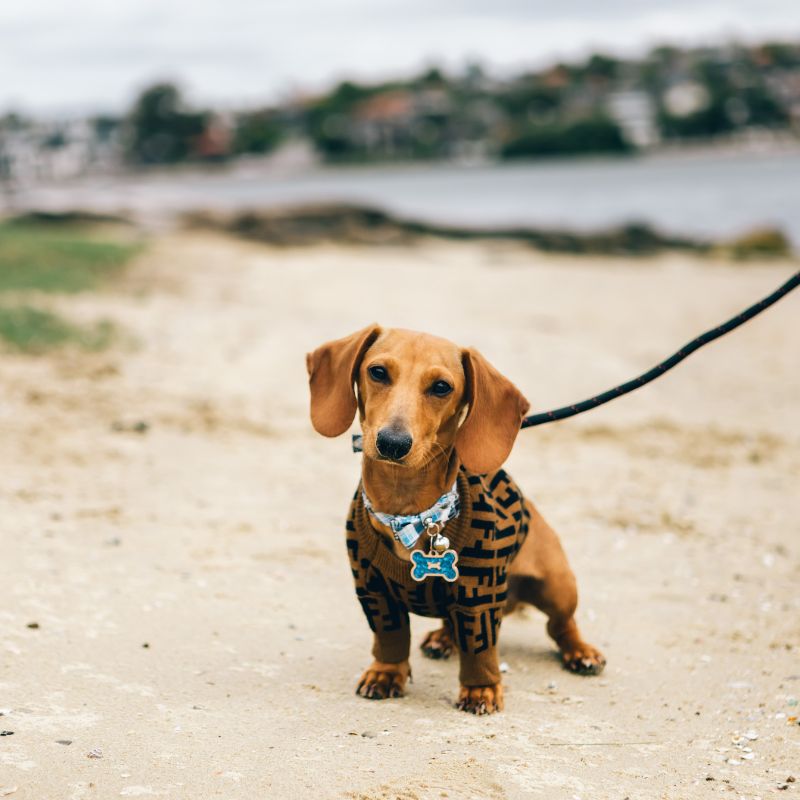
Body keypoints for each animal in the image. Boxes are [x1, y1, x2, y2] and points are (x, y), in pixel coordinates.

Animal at [308, 324, 608, 712]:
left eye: (441, 387)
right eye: (377, 372)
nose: (392, 443)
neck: (409, 511)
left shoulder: (479, 596)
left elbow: (480, 649)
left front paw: (481, 690)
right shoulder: (372, 590)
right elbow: (390, 636)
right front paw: (386, 673)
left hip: (557, 585)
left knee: (560, 626)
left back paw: (580, 652)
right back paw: (443, 637)